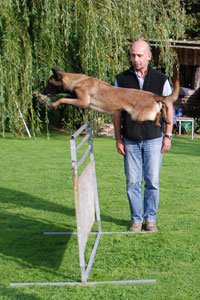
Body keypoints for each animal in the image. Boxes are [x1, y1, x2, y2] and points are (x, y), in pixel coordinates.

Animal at [42, 67, 180, 125]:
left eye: (49, 83)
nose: (42, 92)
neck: (76, 80)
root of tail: (154, 96)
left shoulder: (83, 102)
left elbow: (63, 98)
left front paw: (54, 104)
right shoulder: (78, 99)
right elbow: (66, 98)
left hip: (138, 116)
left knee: (157, 113)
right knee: (163, 106)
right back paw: (166, 118)